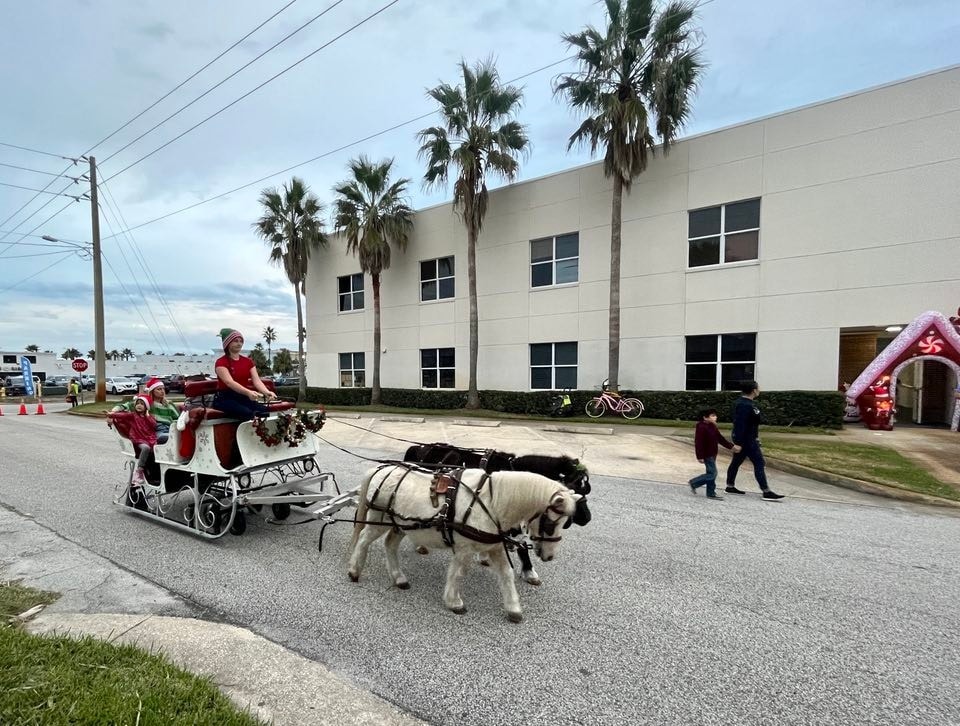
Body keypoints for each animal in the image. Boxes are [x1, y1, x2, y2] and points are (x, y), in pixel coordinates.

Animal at [350, 464, 580, 624]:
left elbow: (506, 574)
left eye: (565, 523)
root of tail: (381, 469)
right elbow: (458, 573)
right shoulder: (465, 549)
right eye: (551, 523)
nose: (549, 555)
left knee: (390, 544)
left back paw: (399, 578)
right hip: (379, 518)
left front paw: (513, 607)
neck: (491, 503)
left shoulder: (495, 547)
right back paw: (354, 570)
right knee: (363, 539)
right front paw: (454, 602)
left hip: (402, 525)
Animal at [402, 444, 588, 584]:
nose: (587, 518)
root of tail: (417, 447)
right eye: (575, 486)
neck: (512, 472)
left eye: (587, 489)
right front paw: (528, 569)